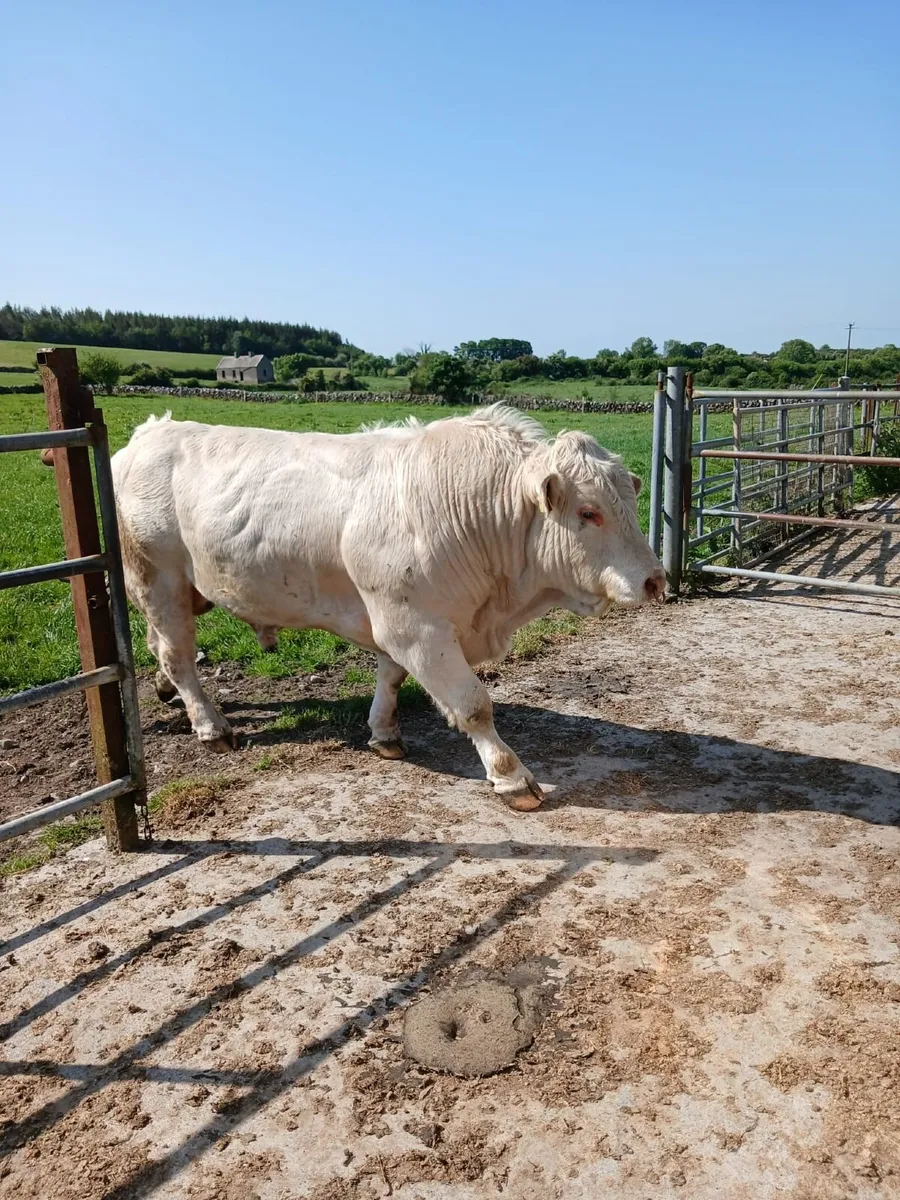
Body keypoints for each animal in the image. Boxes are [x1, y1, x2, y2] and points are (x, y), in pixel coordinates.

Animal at [111, 403, 665, 810]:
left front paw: (383, 733)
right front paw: (511, 776)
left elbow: (391, 677)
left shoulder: (397, 619)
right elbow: (472, 704)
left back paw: (167, 692)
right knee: (179, 656)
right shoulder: (415, 625)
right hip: (157, 578)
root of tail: (150, 433)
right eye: (588, 512)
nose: (655, 580)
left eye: (630, 502)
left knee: (160, 648)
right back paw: (210, 727)